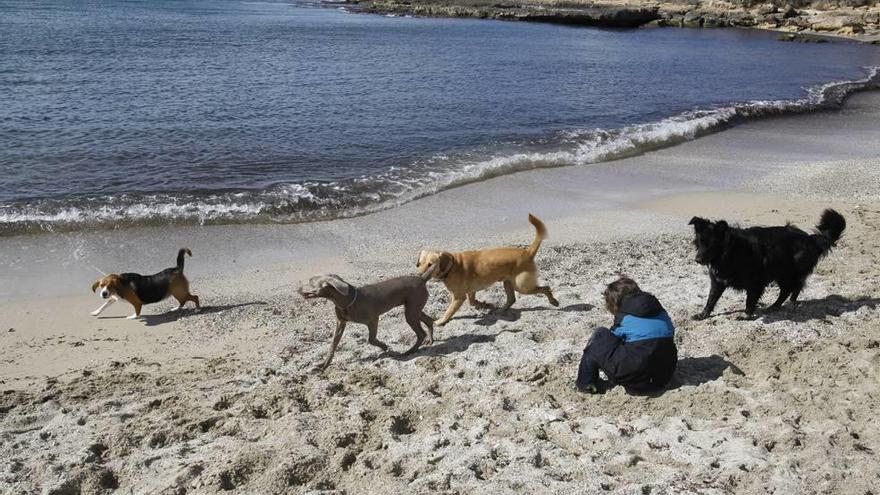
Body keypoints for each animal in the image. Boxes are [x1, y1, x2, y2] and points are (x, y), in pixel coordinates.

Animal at [300, 268, 436, 368]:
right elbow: (333, 344)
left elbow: (371, 339)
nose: (298, 288)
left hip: (411, 312)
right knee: (430, 321)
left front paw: (385, 346)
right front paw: (324, 364)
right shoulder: (340, 323)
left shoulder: (373, 320)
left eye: (310, 282)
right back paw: (430, 340)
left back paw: (411, 351)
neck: (346, 300)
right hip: (413, 309)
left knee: (421, 333)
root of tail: (421, 278)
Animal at [418, 212, 556, 326]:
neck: (452, 266)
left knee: (546, 288)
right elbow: (472, 301)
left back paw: (553, 301)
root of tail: (527, 252)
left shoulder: (458, 297)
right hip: (508, 283)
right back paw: (500, 310)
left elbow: (449, 312)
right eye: (419, 264)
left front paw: (440, 321)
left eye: (430, 264)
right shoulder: (471, 291)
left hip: (522, 286)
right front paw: (484, 304)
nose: (418, 275)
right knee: (512, 299)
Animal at [692, 210, 844, 322]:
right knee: (790, 290)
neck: (731, 251)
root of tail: (810, 239)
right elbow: (711, 299)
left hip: (787, 273)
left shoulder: (755, 283)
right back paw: (779, 305)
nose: (697, 259)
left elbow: (750, 301)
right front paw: (703, 314)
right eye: (700, 241)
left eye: (712, 244)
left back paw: (784, 304)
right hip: (783, 274)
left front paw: (746, 316)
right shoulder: (718, 281)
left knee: (792, 288)